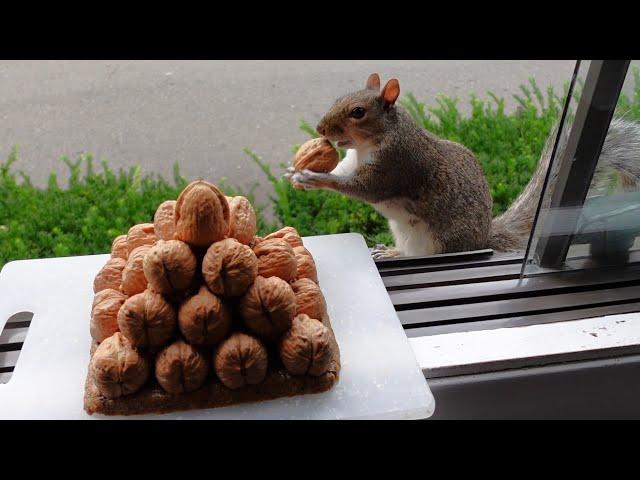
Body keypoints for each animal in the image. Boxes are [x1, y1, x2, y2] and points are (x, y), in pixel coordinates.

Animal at [288, 72, 640, 258]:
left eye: (358, 112)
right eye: (338, 98)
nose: (320, 128)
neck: (366, 146)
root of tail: (483, 239)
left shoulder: (396, 166)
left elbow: (360, 187)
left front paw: (312, 176)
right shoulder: (352, 161)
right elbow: (341, 172)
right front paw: (296, 172)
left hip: (440, 242)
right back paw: (392, 252)